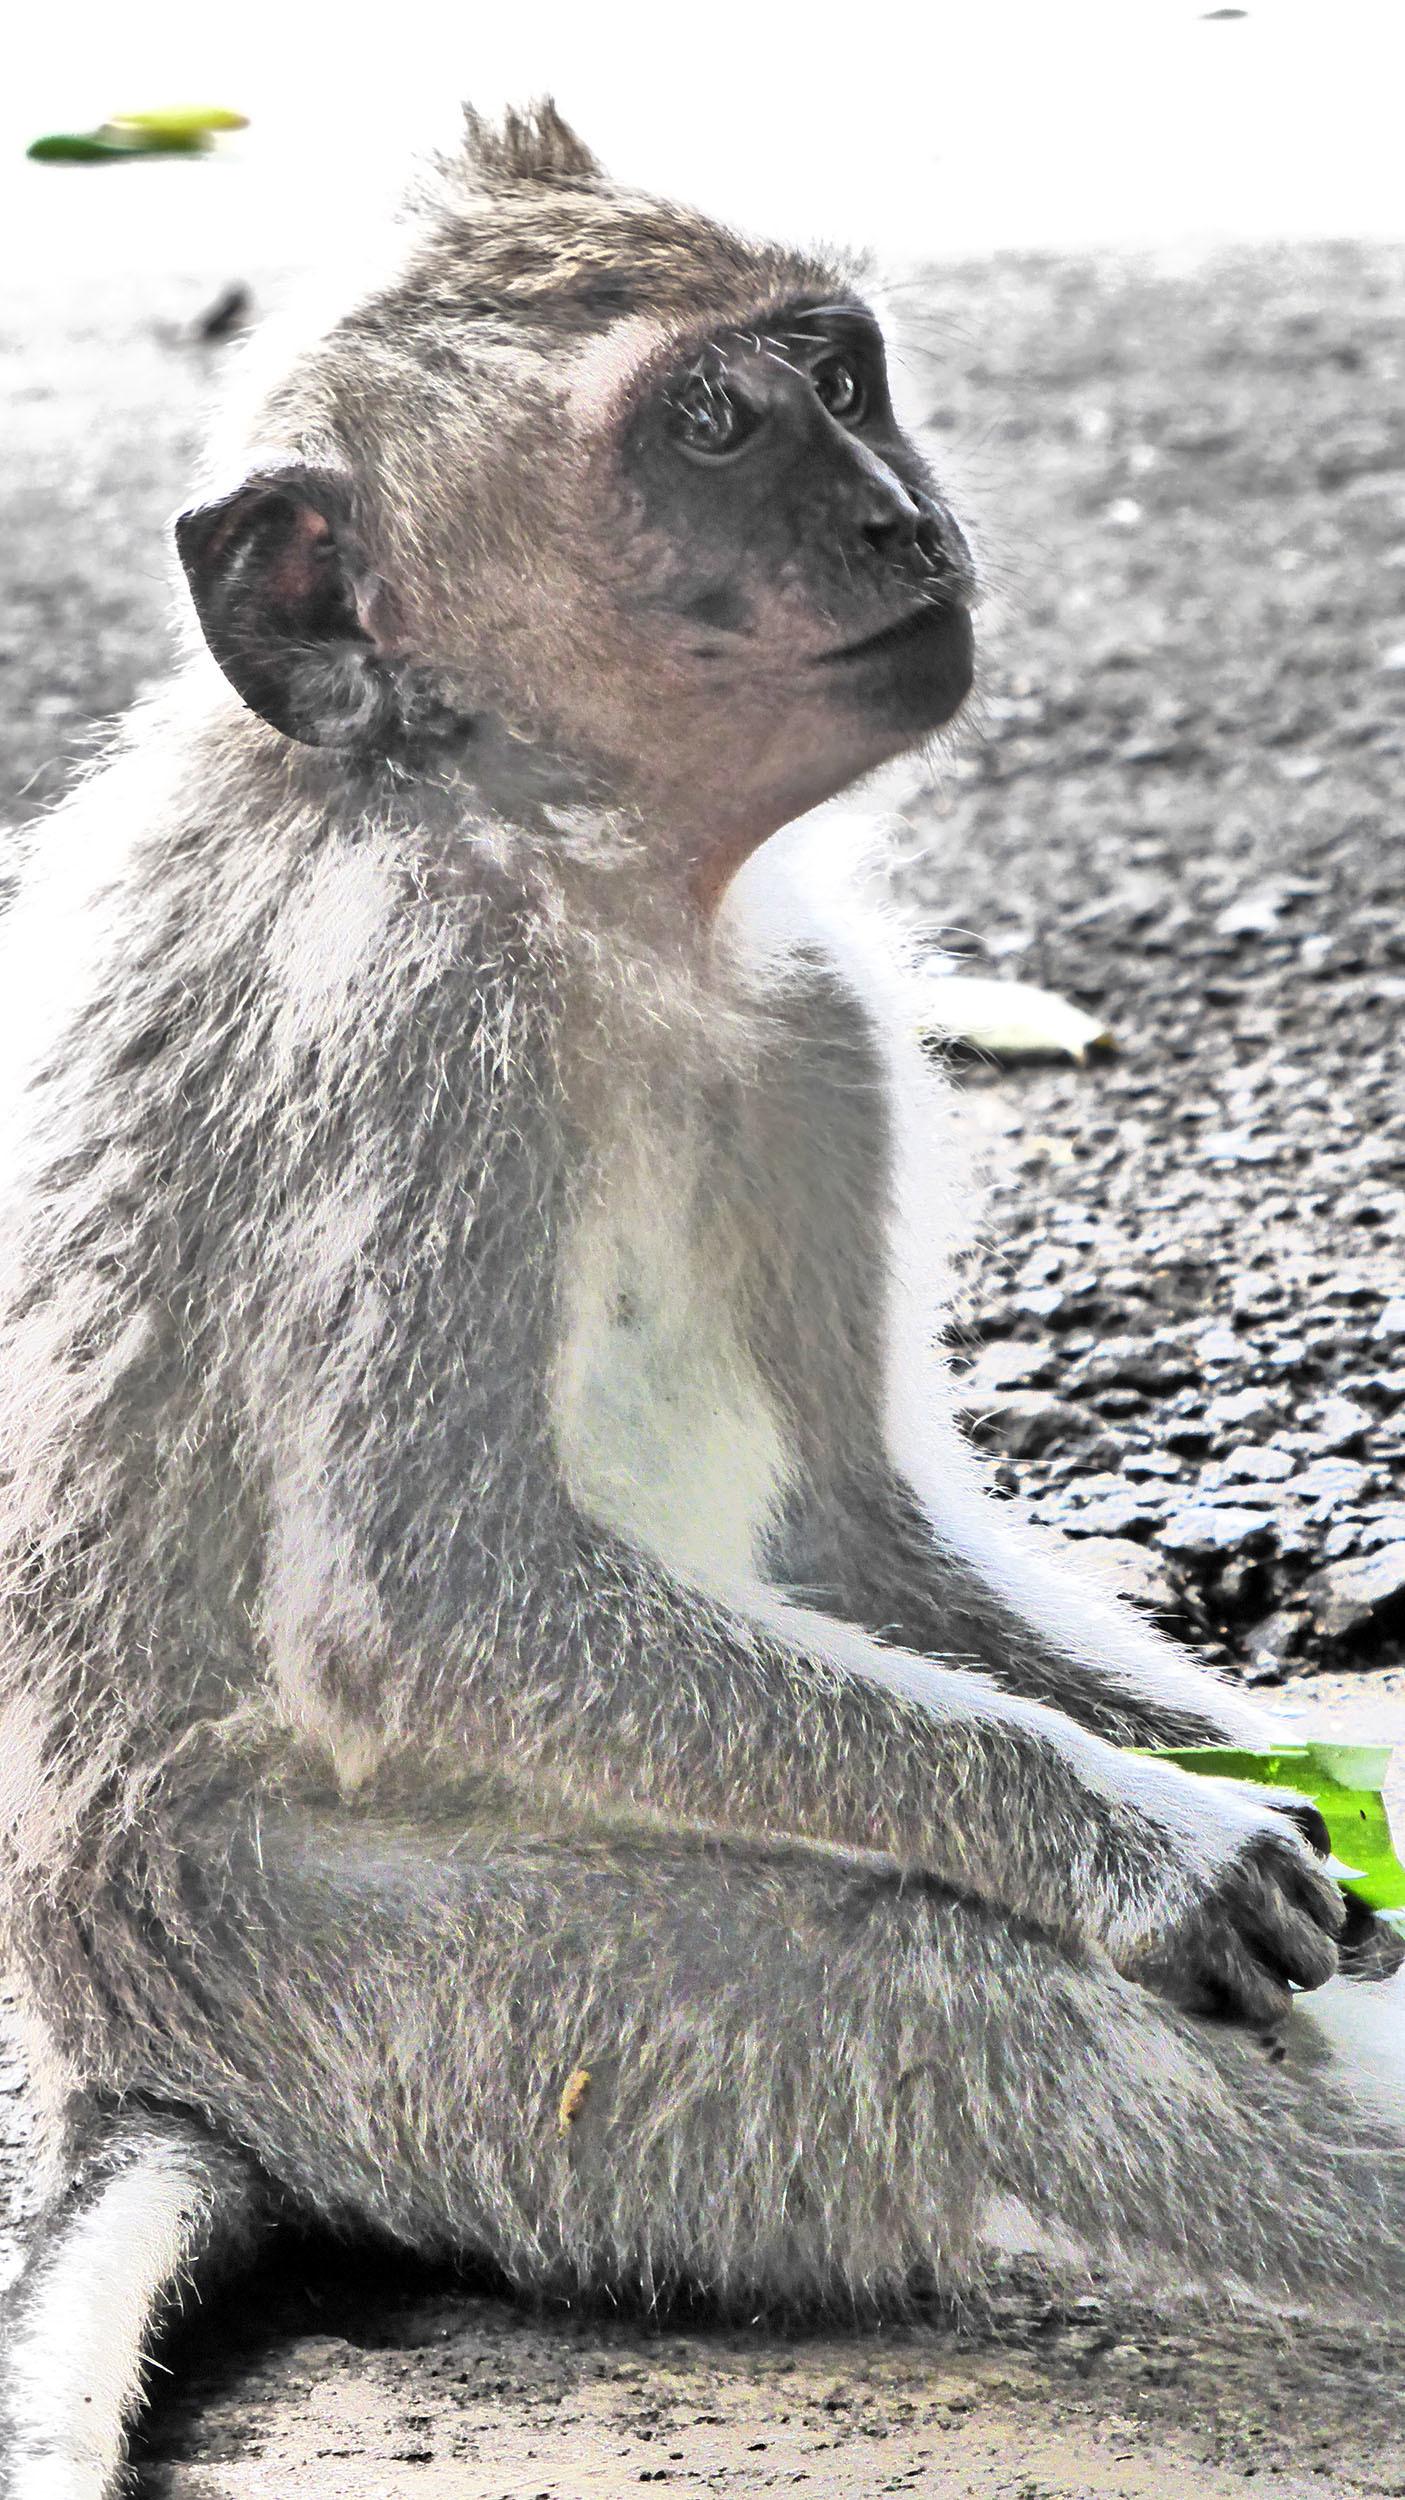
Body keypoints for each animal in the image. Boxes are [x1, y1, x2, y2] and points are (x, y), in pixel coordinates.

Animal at [2, 97, 1400, 2500]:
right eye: (714, 428)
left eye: (838, 376)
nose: (898, 511)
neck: (542, 843)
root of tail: (135, 2051)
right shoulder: (410, 1015)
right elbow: (421, 1599)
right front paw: (1141, 1839)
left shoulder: (813, 1008)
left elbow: (854, 1529)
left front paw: (1251, 1754)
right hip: (392, 2017)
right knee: (942, 1999)